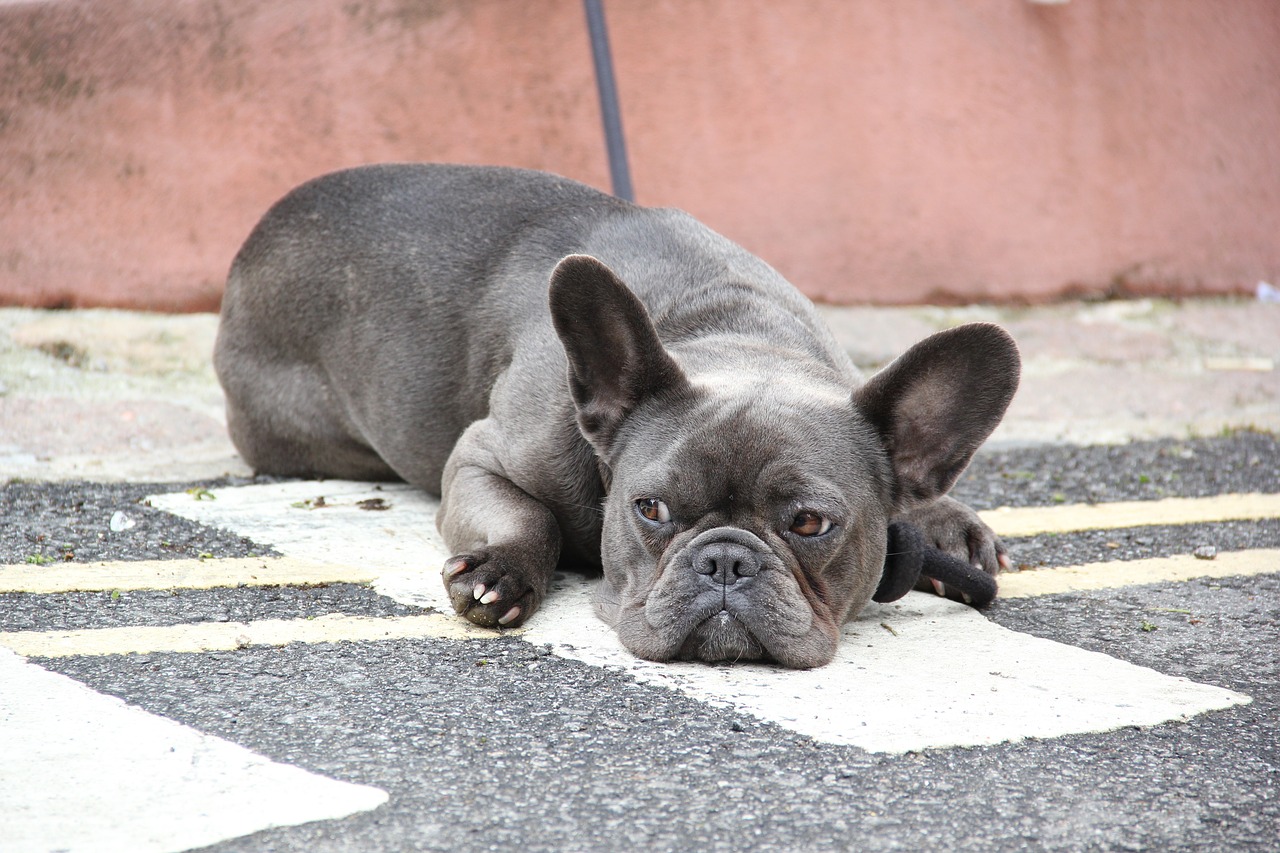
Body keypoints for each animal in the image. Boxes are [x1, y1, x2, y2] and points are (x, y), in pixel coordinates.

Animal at [217, 162, 1018, 666]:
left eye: (811, 524)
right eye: (650, 508)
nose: (725, 560)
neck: (734, 333)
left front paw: (940, 518)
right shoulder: (479, 458)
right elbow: (527, 514)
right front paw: (501, 572)